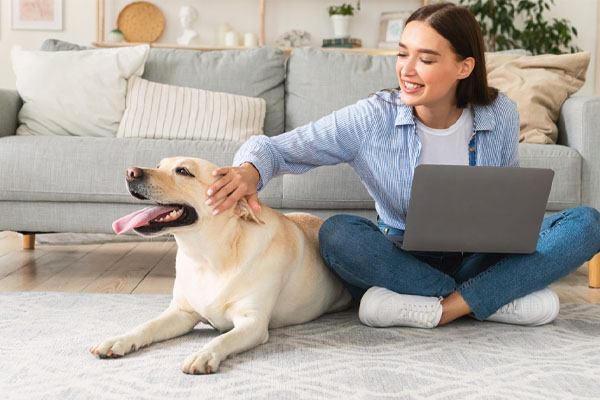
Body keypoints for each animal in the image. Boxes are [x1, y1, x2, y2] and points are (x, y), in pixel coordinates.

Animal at [89, 157, 352, 376]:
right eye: (159, 165)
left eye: (183, 171)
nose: (130, 172)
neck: (207, 257)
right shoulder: (181, 313)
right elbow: (147, 325)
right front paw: (119, 339)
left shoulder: (252, 322)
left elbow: (223, 339)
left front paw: (204, 354)